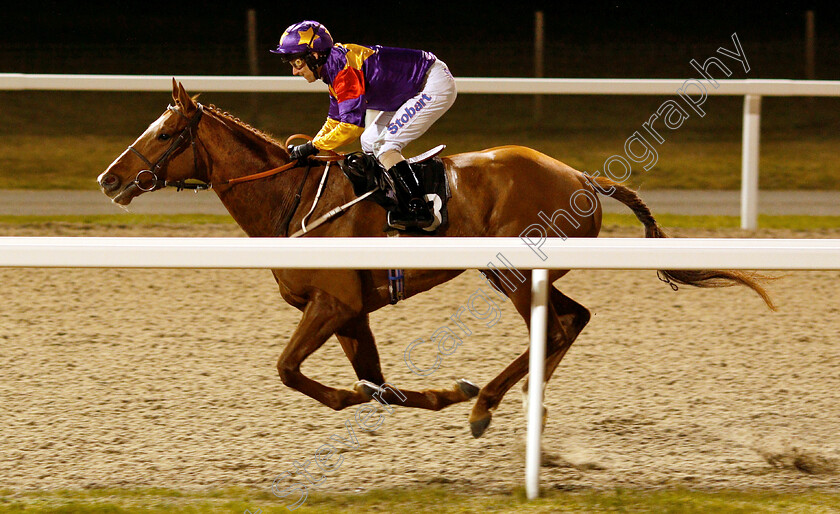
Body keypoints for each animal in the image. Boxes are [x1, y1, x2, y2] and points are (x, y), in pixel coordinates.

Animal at [97, 81, 768, 436]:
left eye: (164, 134)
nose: (109, 179)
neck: (291, 200)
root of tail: (579, 174)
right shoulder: (351, 312)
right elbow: (379, 385)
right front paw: (439, 392)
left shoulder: (332, 303)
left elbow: (292, 371)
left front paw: (446, 394)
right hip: (516, 272)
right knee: (568, 322)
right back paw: (525, 402)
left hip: (509, 269)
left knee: (557, 325)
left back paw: (489, 406)